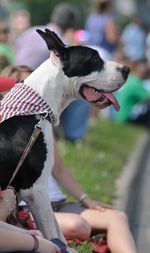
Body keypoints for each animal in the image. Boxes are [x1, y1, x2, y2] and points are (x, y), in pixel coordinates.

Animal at [0, 29, 129, 241]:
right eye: (94, 58)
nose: (126, 69)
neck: (38, 110)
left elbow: (57, 230)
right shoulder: (36, 190)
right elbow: (52, 233)